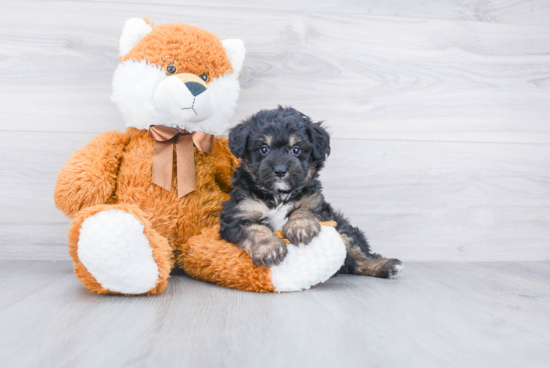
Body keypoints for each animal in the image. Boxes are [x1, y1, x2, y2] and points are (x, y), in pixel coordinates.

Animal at [220, 106, 406, 278]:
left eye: (296, 150)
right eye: (264, 149)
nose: (280, 170)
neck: (278, 195)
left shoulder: (316, 204)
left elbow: (304, 210)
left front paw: (300, 227)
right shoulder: (238, 215)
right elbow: (256, 230)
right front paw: (270, 248)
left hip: (341, 228)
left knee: (356, 254)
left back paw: (386, 266)